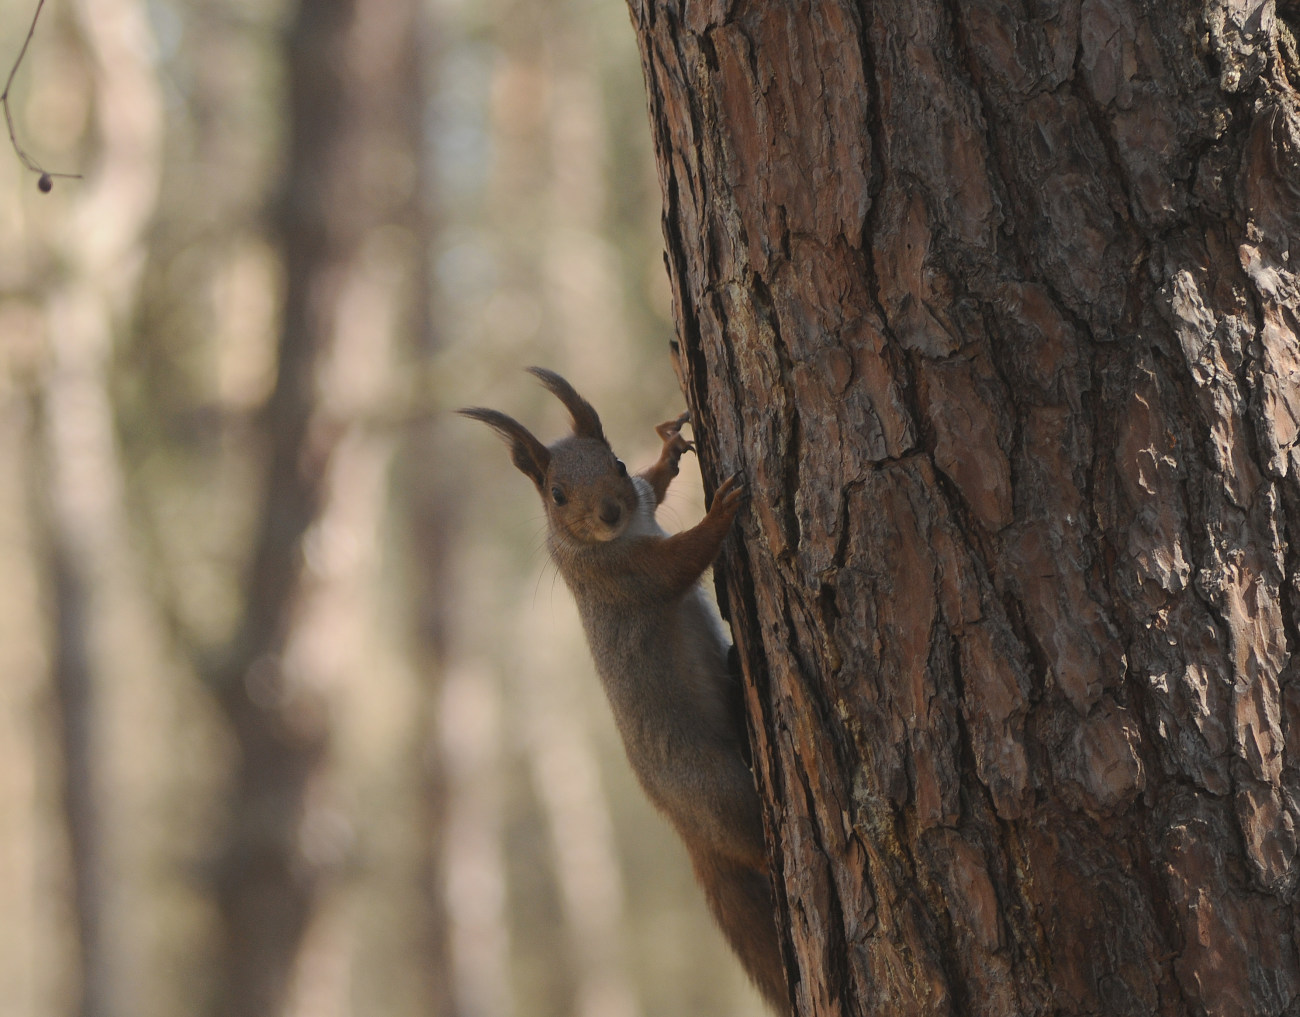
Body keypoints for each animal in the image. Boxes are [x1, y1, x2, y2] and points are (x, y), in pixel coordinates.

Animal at [462, 369, 785, 1014]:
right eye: (557, 495)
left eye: (614, 462)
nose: (611, 513)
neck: (603, 540)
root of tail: (686, 830)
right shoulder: (627, 574)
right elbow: (684, 559)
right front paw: (722, 507)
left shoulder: (640, 506)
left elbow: (653, 488)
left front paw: (669, 452)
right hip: (719, 790)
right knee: (749, 842)